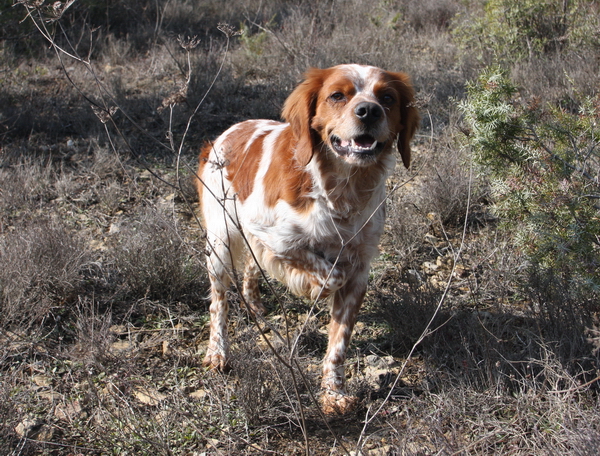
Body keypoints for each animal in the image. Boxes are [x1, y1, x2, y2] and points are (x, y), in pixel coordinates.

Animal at [197, 65, 418, 416]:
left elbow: (338, 343)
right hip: (220, 243)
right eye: (337, 95)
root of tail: (227, 133)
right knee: (219, 303)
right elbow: (329, 274)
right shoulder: (274, 235)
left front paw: (334, 394)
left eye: (387, 98)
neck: (342, 191)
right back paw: (218, 353)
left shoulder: (360, 269)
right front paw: (311, 286)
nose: (369, 111)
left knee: (251, 269)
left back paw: (255, 303)